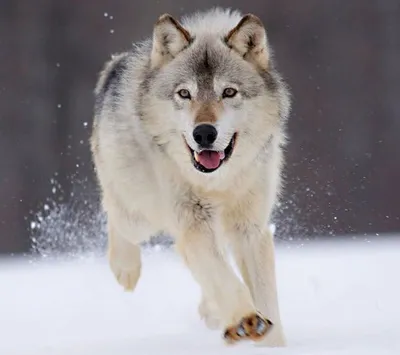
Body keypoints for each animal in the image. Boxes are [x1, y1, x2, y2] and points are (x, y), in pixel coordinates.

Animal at [90, 6, 290, 350]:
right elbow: (224, 278)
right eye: (184, 93)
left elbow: (263, 296)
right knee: (117, 216)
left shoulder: (250, 229)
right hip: (140, 213)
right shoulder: (193, 223)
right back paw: (125, 269)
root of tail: (115, 65)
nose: (204, 133)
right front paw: (245, 320)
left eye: (229, 92)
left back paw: (211, 312)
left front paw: (271, 344)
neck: (218, 182)